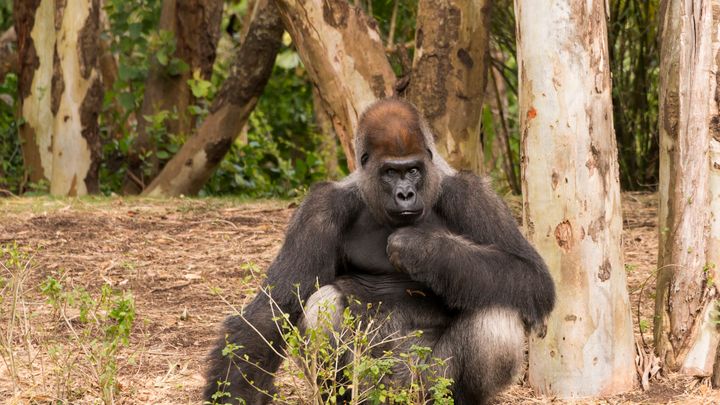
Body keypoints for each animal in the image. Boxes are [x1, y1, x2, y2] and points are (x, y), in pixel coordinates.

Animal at [205, 98, 555, 404]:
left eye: (412, 170)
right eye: (390, 172)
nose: (405, 194)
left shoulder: (472, 194)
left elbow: (531, 275)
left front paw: (422, 249)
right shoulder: (320, 207)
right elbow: (271, 311)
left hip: (423, 385)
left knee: (497, 308)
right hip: (374, 386)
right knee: (324, 304)